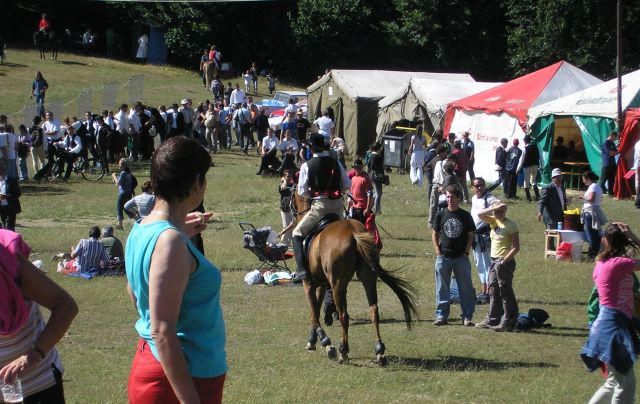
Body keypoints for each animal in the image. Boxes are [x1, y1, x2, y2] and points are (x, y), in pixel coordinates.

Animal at [292, 192, 417, 365]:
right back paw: (380, 351)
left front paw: (326, 343)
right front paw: (312, 340)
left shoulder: (309, 284)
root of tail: (353, 233)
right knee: (374, 310)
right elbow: (316, 310)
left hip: (338, 285)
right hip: (367, 278)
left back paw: (343, 351)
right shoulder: (322, 285)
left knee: (344, 315)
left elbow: (313, 313)